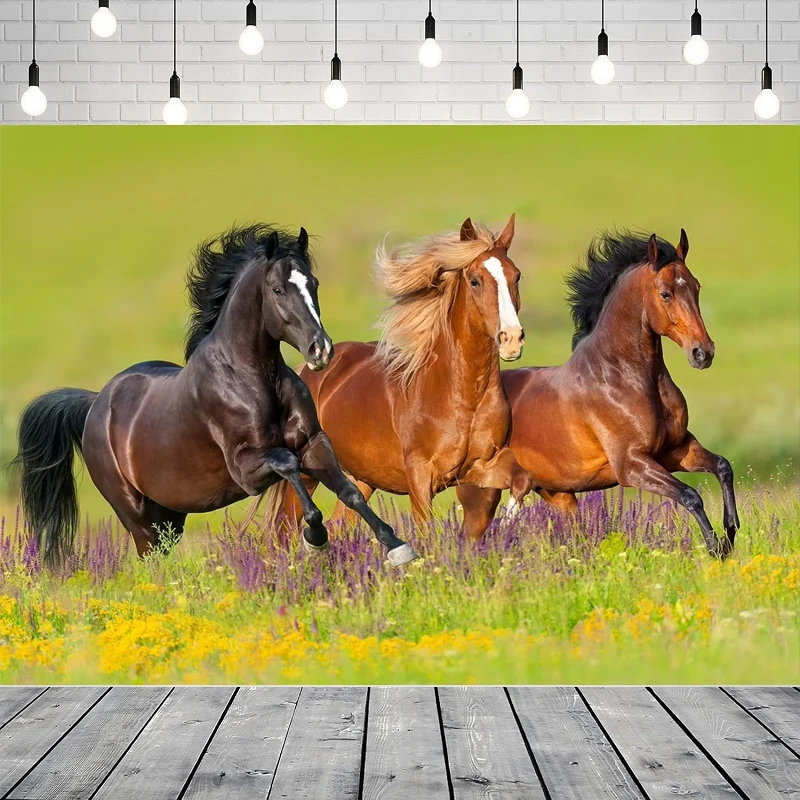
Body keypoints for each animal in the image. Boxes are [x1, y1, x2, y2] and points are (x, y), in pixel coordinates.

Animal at [12, 223, 417, 568]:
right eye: (278, 289)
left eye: (313, 283)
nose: (321, 351)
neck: (253, 379)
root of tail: (95, 403)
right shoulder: (246, 469)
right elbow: (288, 464)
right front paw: (315, 537)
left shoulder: (314, 443)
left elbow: (349, 491)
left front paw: (398, 548)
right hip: (136, 515)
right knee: (149, 560)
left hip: (169, 515)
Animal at [272, 215, 533, 530]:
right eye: (475, 280)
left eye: (516, 276)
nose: (511, 339)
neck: (463, 396)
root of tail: (308, 372)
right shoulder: (420, 477)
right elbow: (427, 530)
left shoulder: (481, 466)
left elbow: (521, 480)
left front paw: (503, 528)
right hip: (307, 472)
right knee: (284, 527)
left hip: (362, 479)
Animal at [456, 229, 739, 558]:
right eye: (666, 294)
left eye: (696, 287)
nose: (703, 353)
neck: (622, 377)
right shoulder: (632, 465)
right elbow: (691, 494)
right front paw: (716, 547)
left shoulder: (676, 450)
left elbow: (722, 466)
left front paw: (731, 531)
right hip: (482, 494)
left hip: (558, 495)